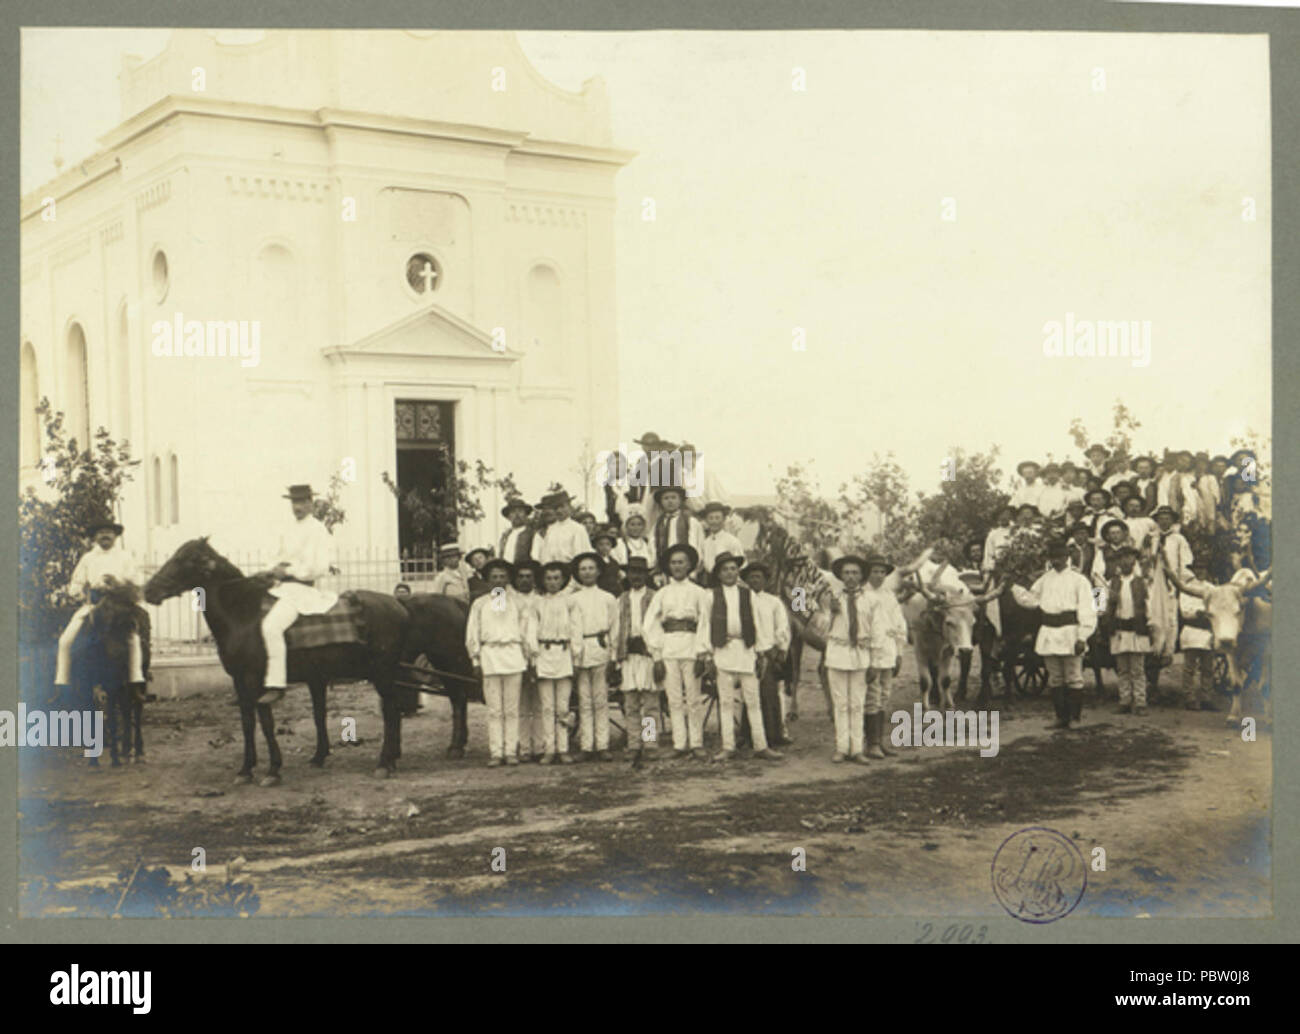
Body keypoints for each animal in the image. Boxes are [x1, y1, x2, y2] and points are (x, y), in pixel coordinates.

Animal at [69, 582, 150, 769]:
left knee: (133, 708)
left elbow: (114, 714)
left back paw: (136, 752)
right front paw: (95, 760)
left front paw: (116, 757)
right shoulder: (89, 683)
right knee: (127, 706)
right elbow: (93, 712)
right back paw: (127, 751)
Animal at [143, 541, 408, 785]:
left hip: (382, 674)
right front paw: (245, 770)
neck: (243, 614)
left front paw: (272, 770)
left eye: (184, 560)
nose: (148, 590)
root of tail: (398, 605)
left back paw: (384, 763)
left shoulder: (255, 680)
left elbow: (266, 723)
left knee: (391, 712)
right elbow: (247, 723)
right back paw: (391, 759)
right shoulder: (239, 681)